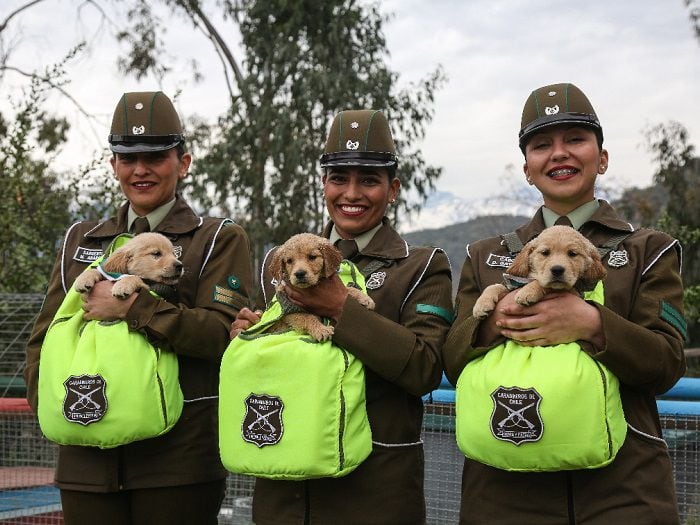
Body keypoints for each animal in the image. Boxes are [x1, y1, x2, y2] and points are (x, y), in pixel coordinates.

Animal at [470, 223, 608, 318]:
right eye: (545, 252)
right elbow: (494, 286)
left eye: (572, 253)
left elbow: (544, 284)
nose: (557, 270)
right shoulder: (513, 284)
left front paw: (528, 292)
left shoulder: (573, 292)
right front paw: (481, 305)